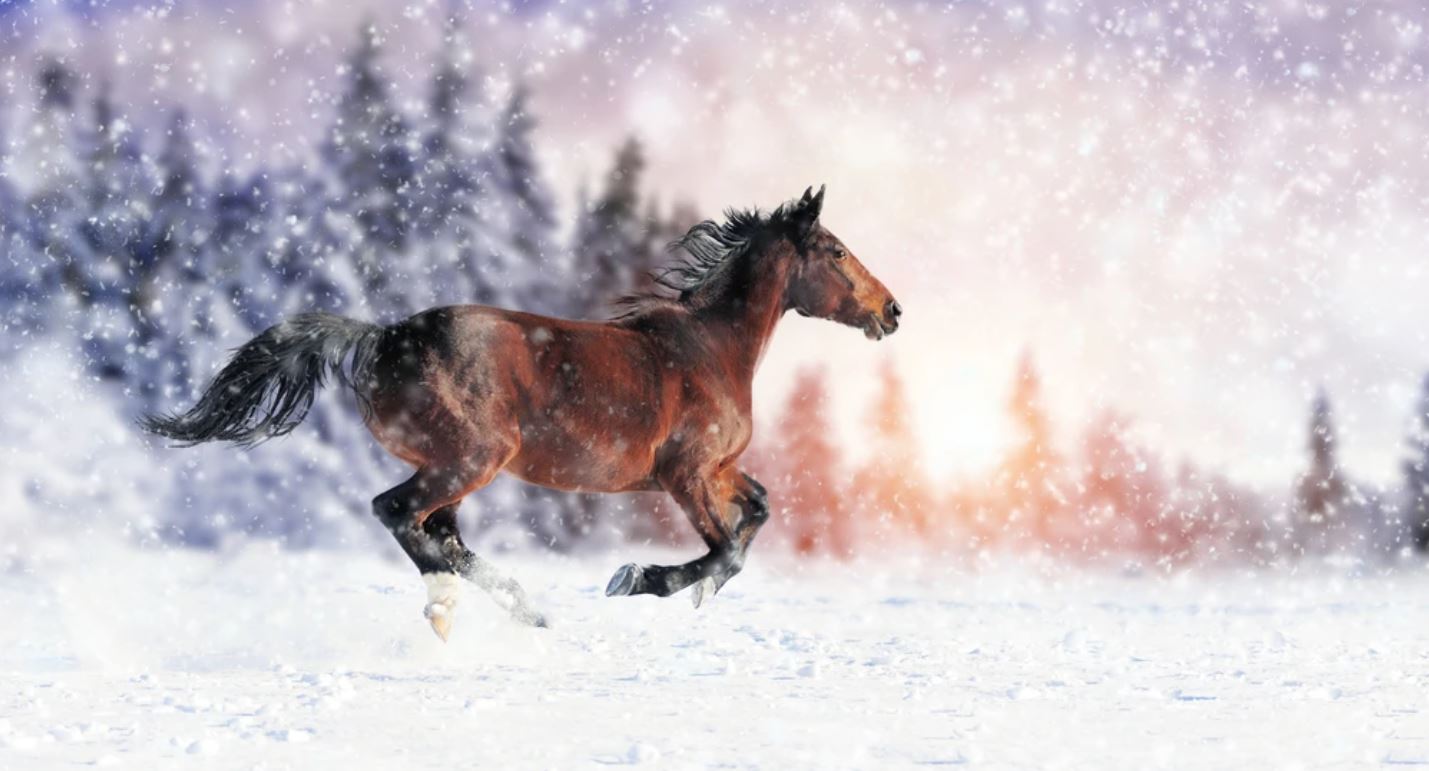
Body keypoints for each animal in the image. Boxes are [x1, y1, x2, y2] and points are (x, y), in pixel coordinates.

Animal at [142, 185, 901, 640]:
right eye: (836, 251)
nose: (891, 310)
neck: (712, 348)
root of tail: (382, 336)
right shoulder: (686, 474)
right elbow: (725, 551)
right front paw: (639, 579)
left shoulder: (717, 470)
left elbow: (759, 512)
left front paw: (688, 592)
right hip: (470, 458)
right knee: (399, 514)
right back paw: (454, 605)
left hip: (453, 466)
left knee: (437, 532)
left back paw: (516, 608)